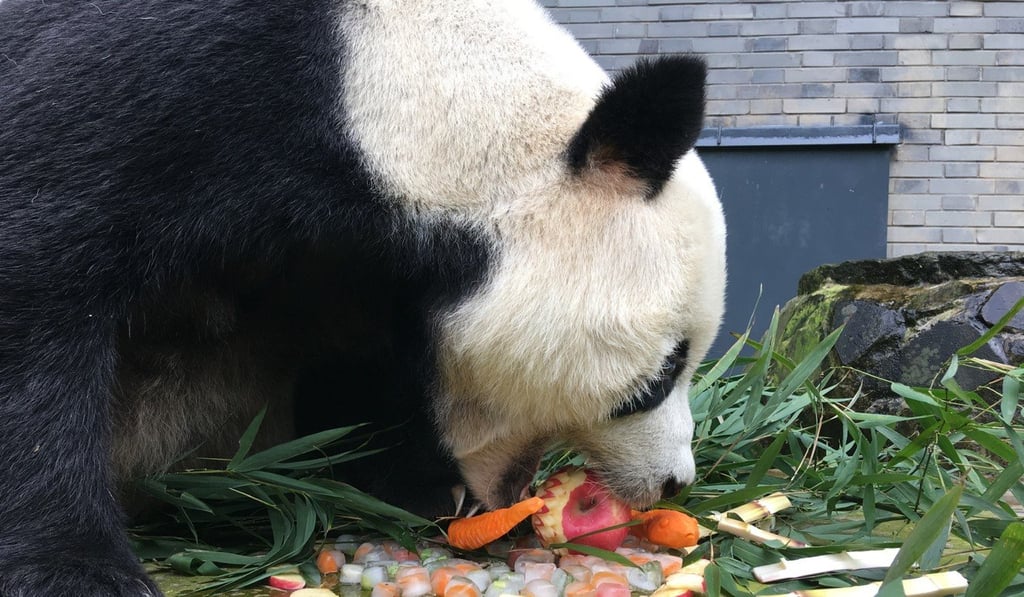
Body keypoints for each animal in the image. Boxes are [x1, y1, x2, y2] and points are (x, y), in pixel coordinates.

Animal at [0, 0, 726, 595]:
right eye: (663, 372)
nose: (673, 482)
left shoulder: (347, 263)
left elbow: (358, 366)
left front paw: (415, 489)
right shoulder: (155, 85)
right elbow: (41, 280)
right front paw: (78, 568)